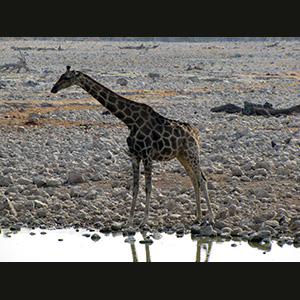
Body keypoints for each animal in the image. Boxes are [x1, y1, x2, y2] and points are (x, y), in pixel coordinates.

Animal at [52, 65, 216, 225]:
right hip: (181, 156)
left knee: (202, 180)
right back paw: (198, 217)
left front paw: (144, 221)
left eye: (67, 78)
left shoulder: (147, 155)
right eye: (60, 76)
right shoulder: (134, 156)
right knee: (194, 180)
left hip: (192, 153)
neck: (130, 121)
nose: (53, 89)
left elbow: (148, 187)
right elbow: (135, 188)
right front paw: (128, 221)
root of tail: (194, 134)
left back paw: (210, 218)